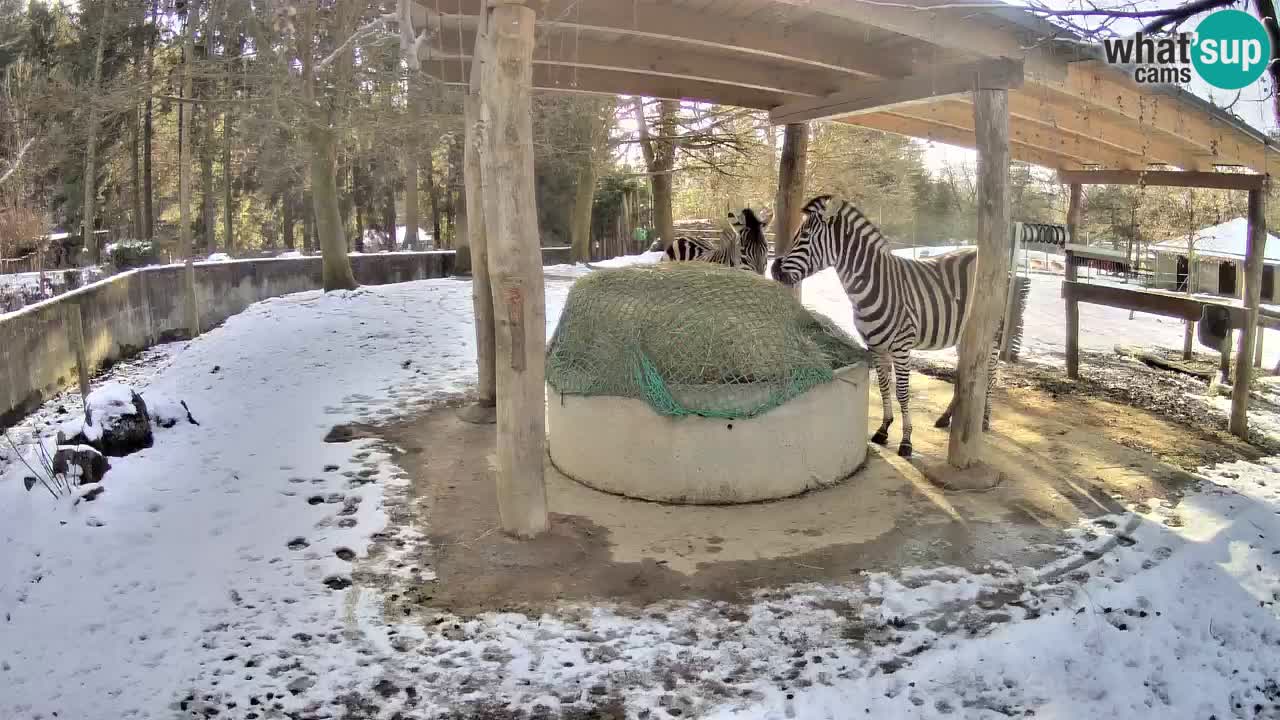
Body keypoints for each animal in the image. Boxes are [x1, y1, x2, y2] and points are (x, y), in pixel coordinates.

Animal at [768, 193, 1008, 456]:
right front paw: (883, 429)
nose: (774, 269)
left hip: (993, 331)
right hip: (964, 333)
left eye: (805, 236)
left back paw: (983, 420)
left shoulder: (901, 346)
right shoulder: (875, 345)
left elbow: (902, 392)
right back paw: (947, 418)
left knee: (990, 373)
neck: (872, 285)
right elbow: (883, 386)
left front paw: (906, 441)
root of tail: (978, 251)